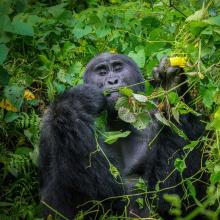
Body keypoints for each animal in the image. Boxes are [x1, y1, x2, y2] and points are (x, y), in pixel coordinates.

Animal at [38, 52, 205, 219]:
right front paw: (77, 100)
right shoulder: (47, 131)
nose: (112, 81)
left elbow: (170, 192)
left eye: (118, 68)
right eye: (102, 72)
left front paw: (171, 87)